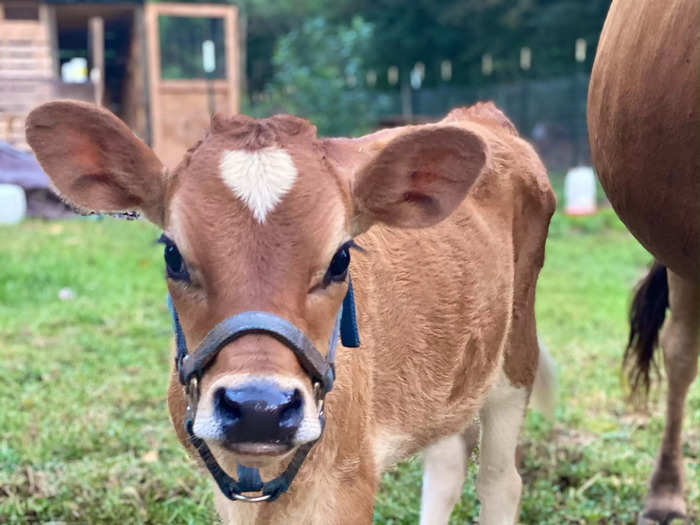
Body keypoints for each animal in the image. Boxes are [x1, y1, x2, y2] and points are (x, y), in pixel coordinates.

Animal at [24, 99, 556, 524]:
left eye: (341, 258)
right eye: (172, 254)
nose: (259, 408)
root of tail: (479, 115)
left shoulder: (347, 483)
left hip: (515, 355)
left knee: (500, 480)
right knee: (446, 461)